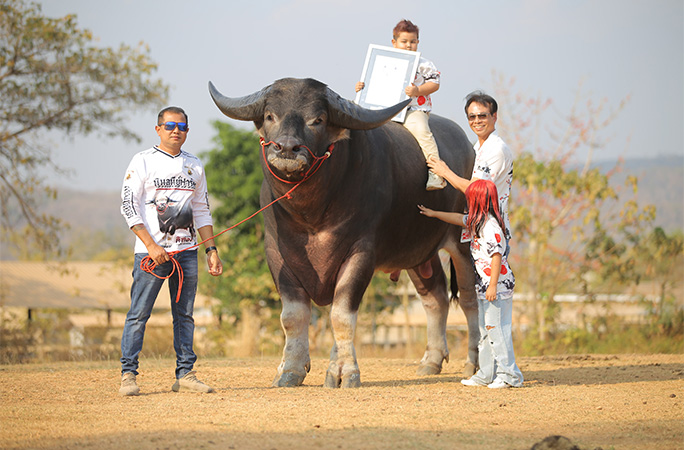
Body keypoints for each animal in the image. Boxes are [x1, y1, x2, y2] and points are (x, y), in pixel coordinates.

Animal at [209, 78, 478, 388]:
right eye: (269, 116)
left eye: (318, 119)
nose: (287, 148)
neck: (310, 214)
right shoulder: (276, 252)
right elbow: (293, 315)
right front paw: (290, 369)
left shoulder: (360, 252)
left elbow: (341, 314)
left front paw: (344, 371)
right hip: (419, 251)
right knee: (435, 297)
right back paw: (431, 360)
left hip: (463, 243)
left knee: (470, 299)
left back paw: (473, 363)